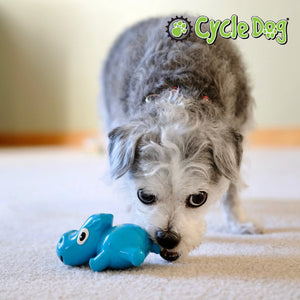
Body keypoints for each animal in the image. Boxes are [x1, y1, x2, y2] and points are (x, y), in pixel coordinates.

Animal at [99, 16, 262, 262]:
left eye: (198, 198)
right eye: (145, 196)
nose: (166, 238)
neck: (180, 89)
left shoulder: (235, 145)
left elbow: (232, 190)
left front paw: (239, 223)